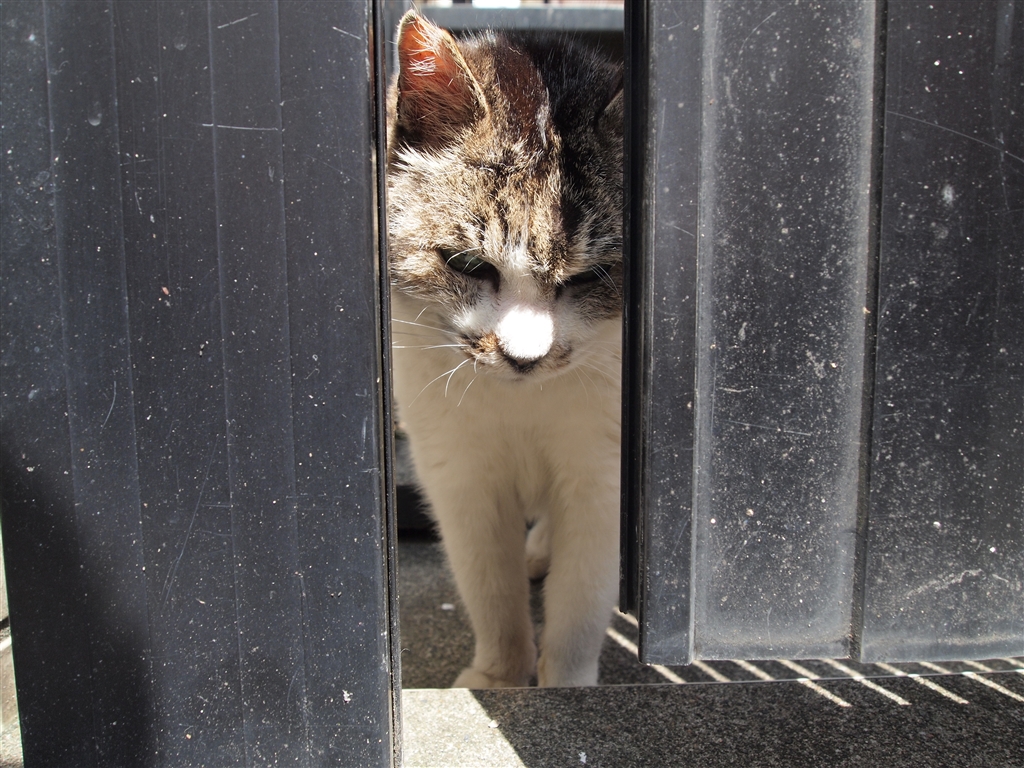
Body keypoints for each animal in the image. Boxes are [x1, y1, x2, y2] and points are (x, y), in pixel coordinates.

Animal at [386, 11, 623, 688]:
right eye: (469, 265)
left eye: (592, 276)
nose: (524, 357)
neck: (524, 405)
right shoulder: (459, 471)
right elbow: (488, 583)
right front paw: (499, 676)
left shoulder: (602, 476)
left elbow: (583, 598)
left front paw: (565, 687)